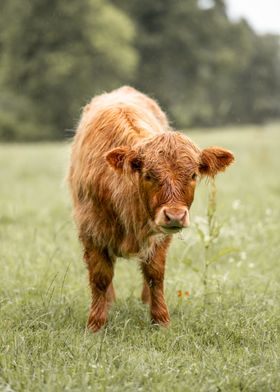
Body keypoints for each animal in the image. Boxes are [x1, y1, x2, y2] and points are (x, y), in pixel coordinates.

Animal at [68, 86, 234, 330]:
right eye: (148, 175)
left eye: (193, 175)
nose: (175, 215)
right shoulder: (91, 229)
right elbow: (100, 277)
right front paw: (96, 324)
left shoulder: (160, 236)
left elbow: (155, 274)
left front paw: (161, 319)